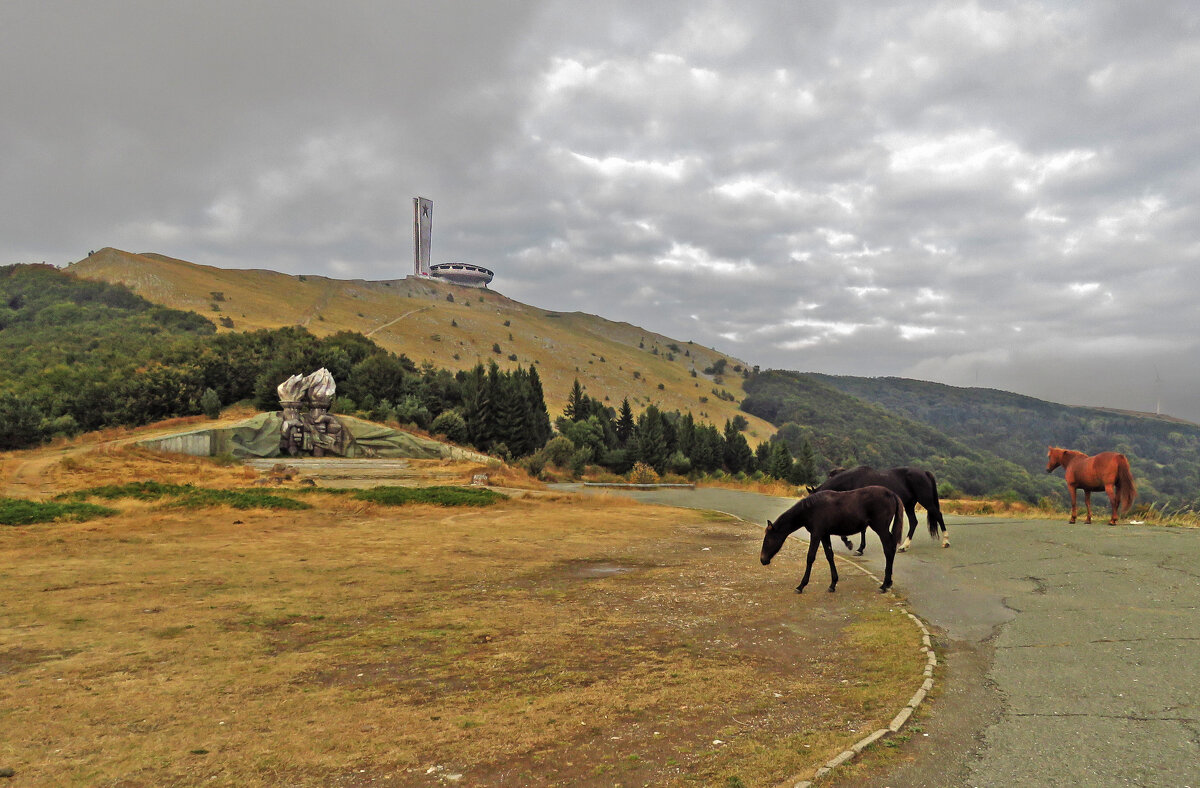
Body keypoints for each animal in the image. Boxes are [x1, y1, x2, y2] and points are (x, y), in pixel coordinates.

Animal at [758, 482, 902, 592]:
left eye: (769, 539)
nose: (763, 560)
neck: (810, 510)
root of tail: (892, 494)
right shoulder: (824, 535)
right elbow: (829, 556)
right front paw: (833, 584)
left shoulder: (816, 534)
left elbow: (810, 557)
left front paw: (801, 586)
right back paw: (888, 582)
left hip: (881, 528)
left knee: (888, 549)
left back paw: (884, 585)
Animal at [816, 462, 945, 549]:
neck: (853, 480)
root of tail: (924, 472)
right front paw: (855, 545)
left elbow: (862, 530)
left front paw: (856, 547)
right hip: (909, 505)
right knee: (914, 522)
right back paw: (904, 546)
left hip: (926, 501)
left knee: (938, 515)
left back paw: (946, 541)